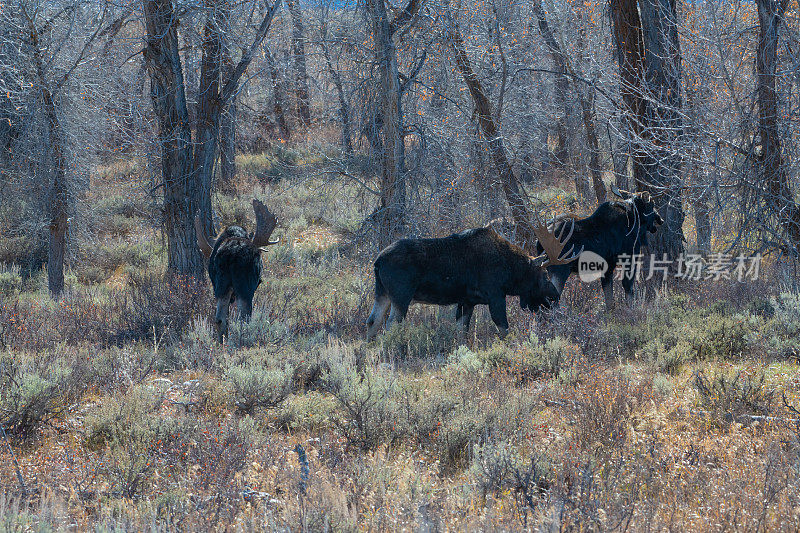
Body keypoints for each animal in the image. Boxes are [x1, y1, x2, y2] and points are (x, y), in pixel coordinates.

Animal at [195, 198, 280, 340]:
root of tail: (232, 252)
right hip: (245, 286)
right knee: (243, 318)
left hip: (221, 285)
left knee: (219, 319)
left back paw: (222, 340)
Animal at [364, 221, 580, 340]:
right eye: (544, 276)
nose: (554, 296)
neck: (511, 273)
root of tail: (377, 262)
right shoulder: (495, 295)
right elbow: (503, 328)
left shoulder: (466, 301)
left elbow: (462, 332)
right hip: (401, 296)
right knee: (391, 325)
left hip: (382, 293)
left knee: (372, 321)